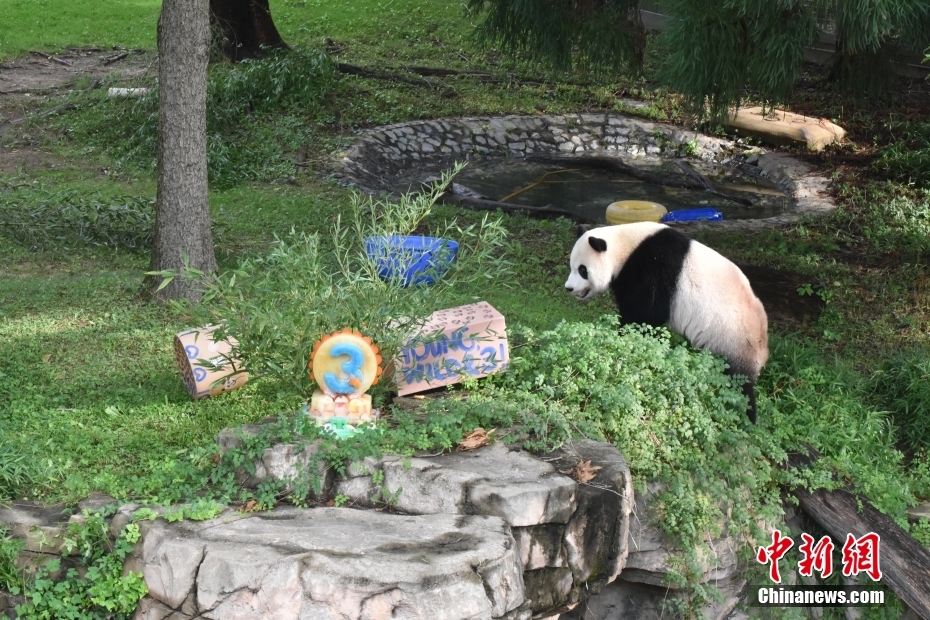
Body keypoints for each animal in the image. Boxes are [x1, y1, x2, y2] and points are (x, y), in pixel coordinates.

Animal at [564, 222, 768, 422]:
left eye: (582, 270)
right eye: (572, 266)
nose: (569, 288)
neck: (624, 247)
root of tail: (763, 349)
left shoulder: (652, 269)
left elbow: (644, 314)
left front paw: (622, 337)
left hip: (731, 339)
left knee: (738, 383)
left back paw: (747, 417)